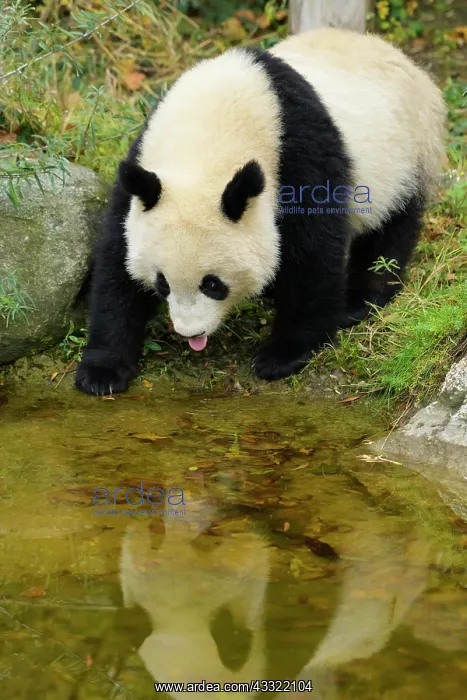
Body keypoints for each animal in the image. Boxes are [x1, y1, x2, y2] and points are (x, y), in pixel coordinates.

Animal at [75, 27, 445, 396]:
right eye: (162, 283)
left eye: (213, 284)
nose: (192, 333)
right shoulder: (140, 173)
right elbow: (116, 264)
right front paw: (102, 371)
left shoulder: (299, 156)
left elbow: (313, 252)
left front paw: (283, 355)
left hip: (406, 154)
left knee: (390, 230)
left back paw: (359, 301)